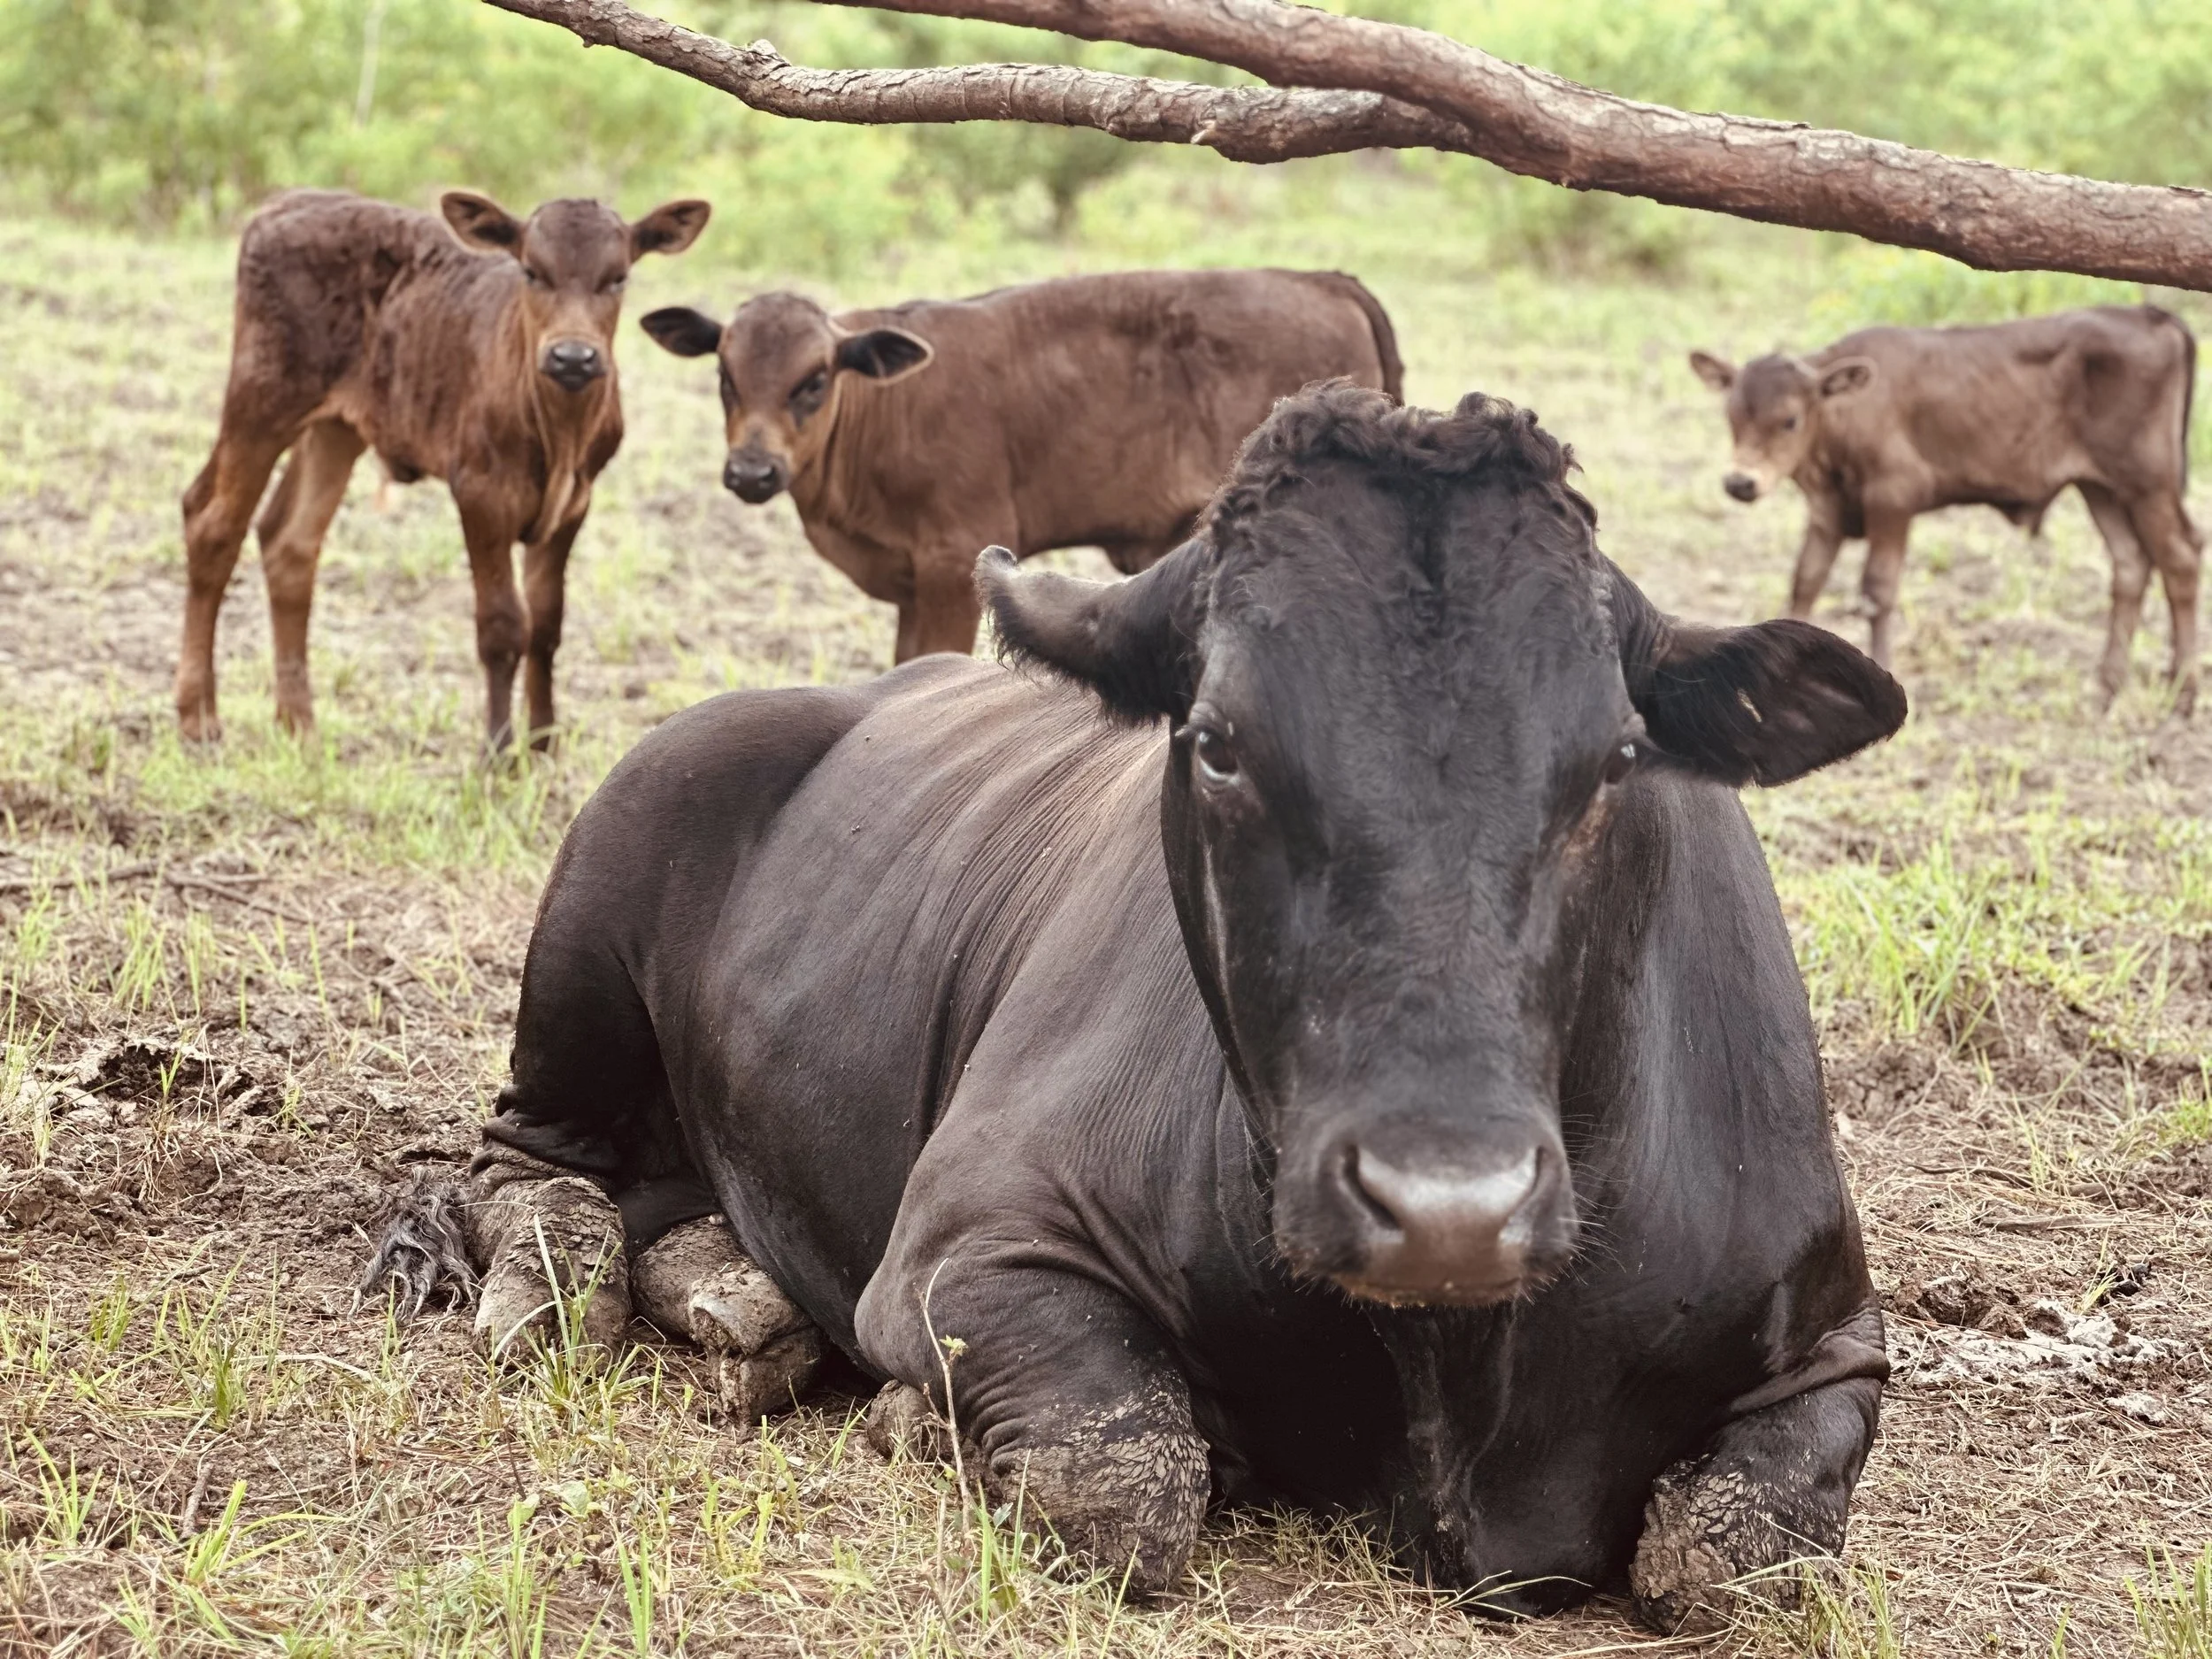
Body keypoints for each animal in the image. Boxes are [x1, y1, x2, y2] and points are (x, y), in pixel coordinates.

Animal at [177, 188, 710, 750]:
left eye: (618, 278)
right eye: (532, 272)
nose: (572, 357)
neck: (560, 432)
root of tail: (289, 201)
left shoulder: (575, 502)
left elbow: (546, 624)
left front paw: (543, 743)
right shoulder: (480, 492)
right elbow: (502, 624)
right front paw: (498, 750)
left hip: (336, 429)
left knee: (290, 541)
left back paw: (299, 723)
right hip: (263, 397)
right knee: (213, 522)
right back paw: (198, 717)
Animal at [366, 385, 1906, 1631]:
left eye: (1618, 760)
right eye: (1217, 742)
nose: (1447, 1205)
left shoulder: (1840, 1331)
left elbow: (1733, 1557)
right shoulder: (967, 1235)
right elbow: (1124, 1477)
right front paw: (919, 1421)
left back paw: (741, 1297)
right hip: (596, 911)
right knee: (526, 1166)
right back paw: (561, 1280)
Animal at [638, 269, 1402, 660]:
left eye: (815, 380)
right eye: (725, 376)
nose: (752, 472)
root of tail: (1321, 279)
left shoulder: (953, 564)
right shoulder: (915, 584)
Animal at [1690, 306, 2201, 711]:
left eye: (1790, 420)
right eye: (1731, 416)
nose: (1740, 482)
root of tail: (2148, 314)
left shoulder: (1893, 496)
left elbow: (1878, 590)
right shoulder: (1826, 510)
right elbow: (1805, 585)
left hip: (2147, 483)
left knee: (2180, 559)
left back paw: (2184, 692)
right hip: (2102, 488)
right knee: (2131, 564)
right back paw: (2107, 687)